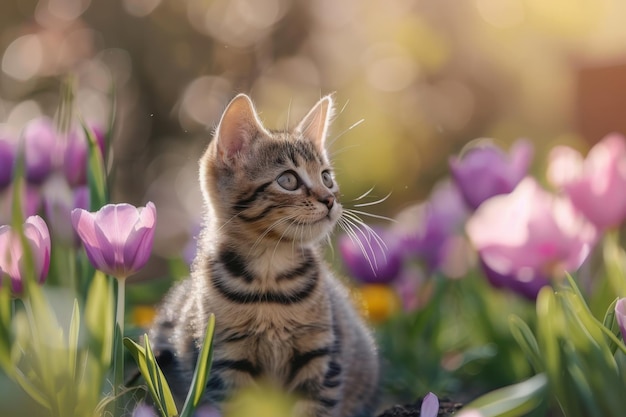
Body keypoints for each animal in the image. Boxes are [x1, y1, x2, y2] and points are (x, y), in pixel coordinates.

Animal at [149, 94, 378, 416]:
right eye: (288, 180)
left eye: (326, 177)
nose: (330, 200)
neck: (269, 276)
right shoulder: (227, 359)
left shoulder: (320, 354)